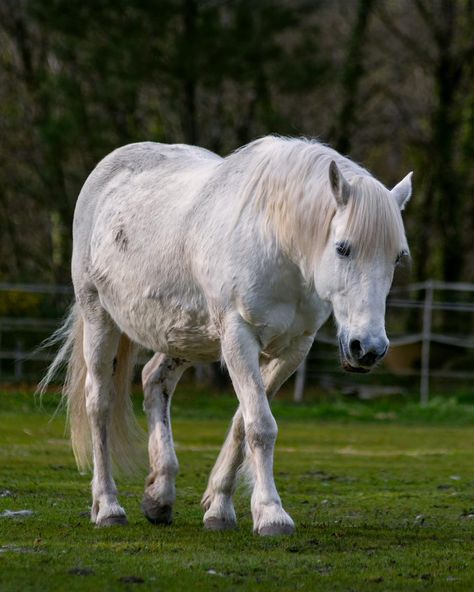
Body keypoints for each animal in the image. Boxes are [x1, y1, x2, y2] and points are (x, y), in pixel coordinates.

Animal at [41, 138, 412, 536]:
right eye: (343, 247)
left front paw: (219, 507)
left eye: (397, 257)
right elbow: (260, 426)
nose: (368, 349)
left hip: (184, 335)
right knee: (99, 403)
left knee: (155, 381)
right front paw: (271, 514)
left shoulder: (294, 349)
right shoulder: (238, 336)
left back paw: (160, 496)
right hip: (98, 316)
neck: (277, 241)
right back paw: (108, 506)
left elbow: (242, 423)